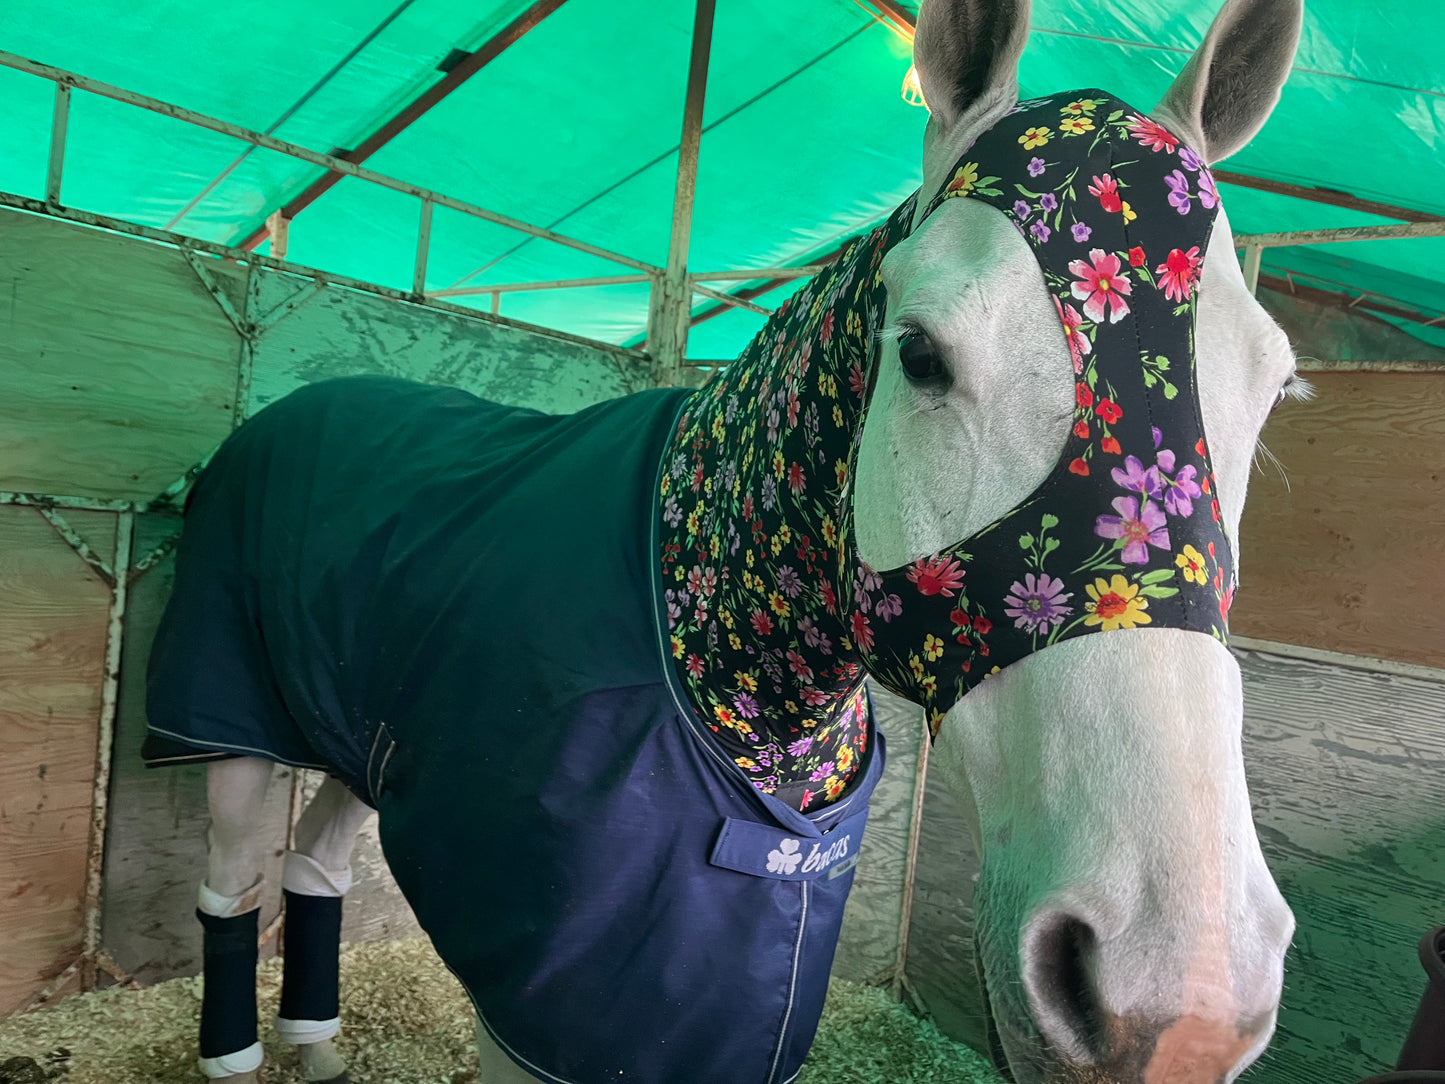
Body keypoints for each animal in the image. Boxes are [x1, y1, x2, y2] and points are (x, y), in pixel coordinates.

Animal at [139, 0, 1305, 1080]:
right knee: (231, 883)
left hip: (356, 738)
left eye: (1276, 385)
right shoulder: (533, 1013)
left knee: (315, 869)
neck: (709, 638)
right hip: (229, 729)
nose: (1182, 997)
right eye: (920, 353)